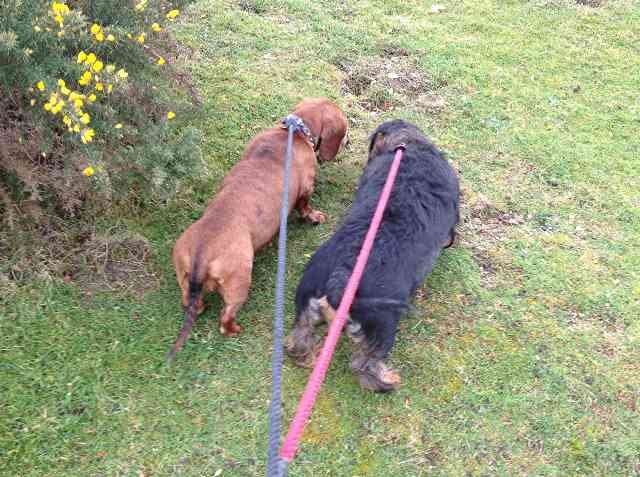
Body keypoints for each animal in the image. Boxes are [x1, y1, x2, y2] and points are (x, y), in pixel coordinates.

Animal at [165, 98, 344, 358]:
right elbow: (305, 206)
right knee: (225, 318)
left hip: (184, 276)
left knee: (191, 302)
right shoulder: (305, 189)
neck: (294, 132)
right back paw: (234, 329)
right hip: (239, 283)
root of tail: (202, 254)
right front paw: (314, 217)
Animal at [286, 119, 460, 390]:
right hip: (382, 327)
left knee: (299, 338)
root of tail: (340, 281)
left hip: (306, 304)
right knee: (364, 365)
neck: (407, 147)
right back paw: (387, 381)